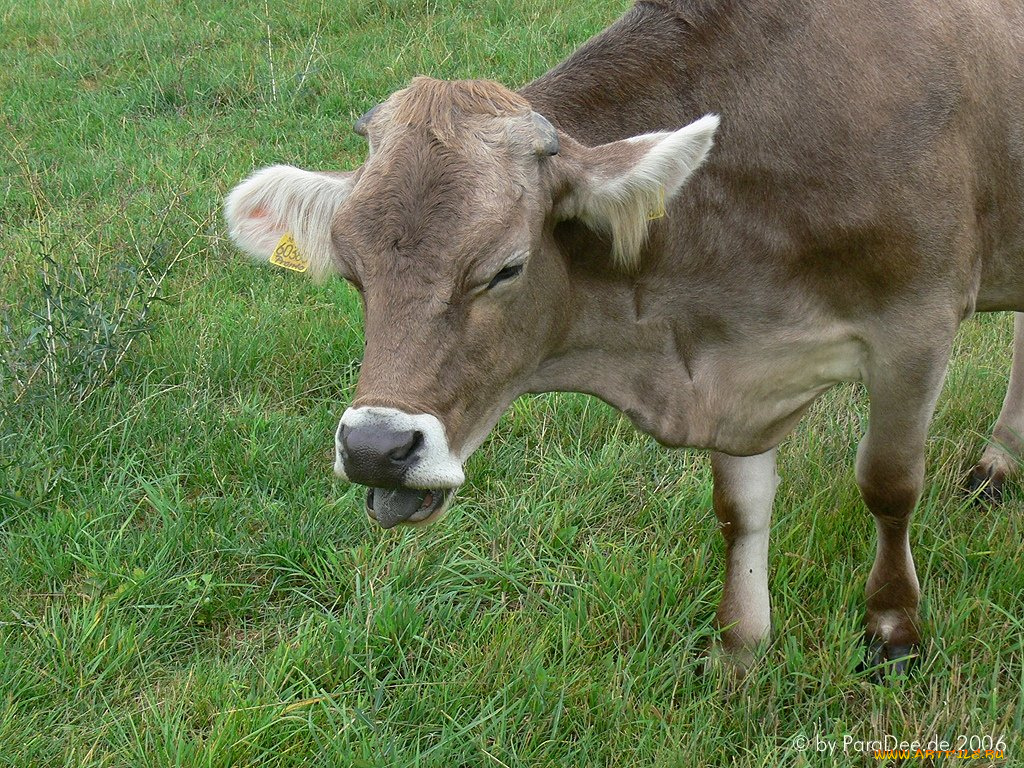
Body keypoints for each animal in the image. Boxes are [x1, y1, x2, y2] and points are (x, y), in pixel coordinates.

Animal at [224, 0, 1024, 673]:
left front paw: (894, 631)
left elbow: (889, 485)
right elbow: (739, 510)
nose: (375, 449)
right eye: (352, 272)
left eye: (505, 268)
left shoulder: (916, 327)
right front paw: (739, 651)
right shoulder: (733, 364)